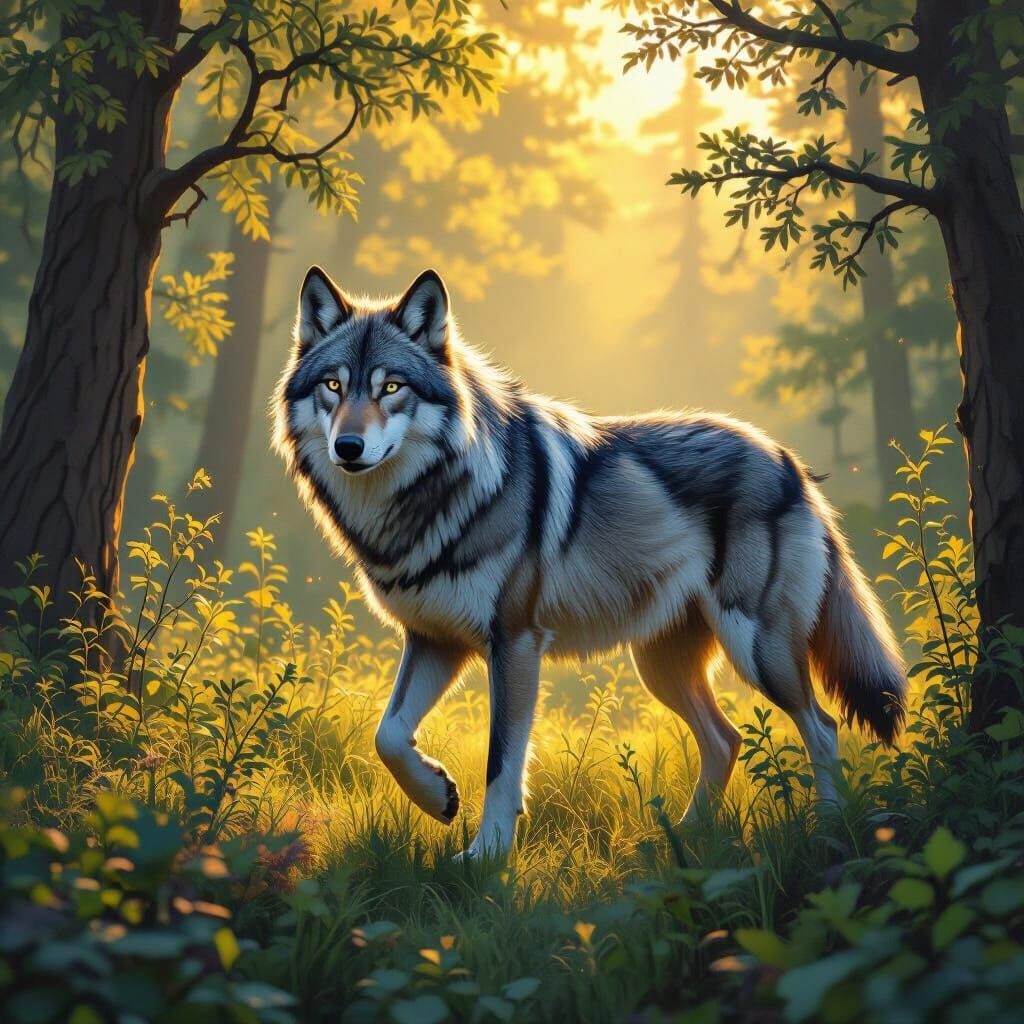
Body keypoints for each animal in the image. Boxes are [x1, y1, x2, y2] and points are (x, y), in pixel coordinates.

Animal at [273, 265, 907, 860]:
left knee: (822, 728)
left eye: (391, 387)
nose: (348, 447)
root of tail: (785, 459)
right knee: (726, 739)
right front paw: (438, 796)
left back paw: (827, 830)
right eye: (334, 385)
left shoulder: (515, 644)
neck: (428, 500)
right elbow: (388, 736)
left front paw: (486, 855)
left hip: (757, 651)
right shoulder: (434, 641)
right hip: (660, 667)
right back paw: (685, 837)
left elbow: (501, 763)